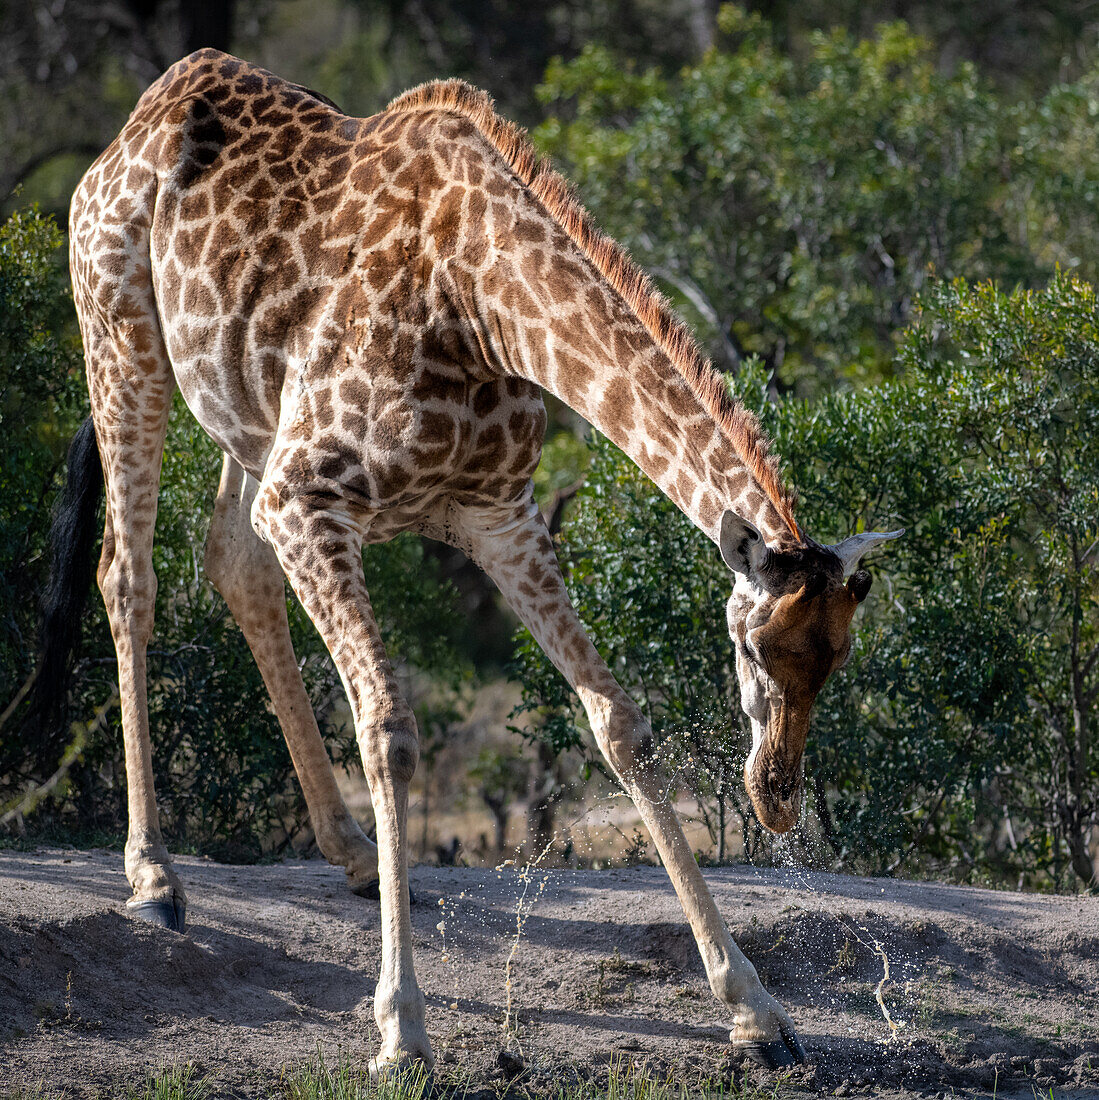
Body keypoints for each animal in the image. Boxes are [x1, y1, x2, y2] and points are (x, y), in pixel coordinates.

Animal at [62, 51, 902, 1073]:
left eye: (838, 660)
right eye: (752, 650)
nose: (775, 801)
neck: (482, 307)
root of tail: (143, 115)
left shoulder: (500, 516)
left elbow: (619, 724)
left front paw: (757, 1009)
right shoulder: (311, 496)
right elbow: (389, 729)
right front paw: (401, 1030)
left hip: (246, 415)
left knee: (233, 560)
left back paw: (349, 853)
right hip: (122, 339)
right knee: (128, 575)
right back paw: (153, 877)